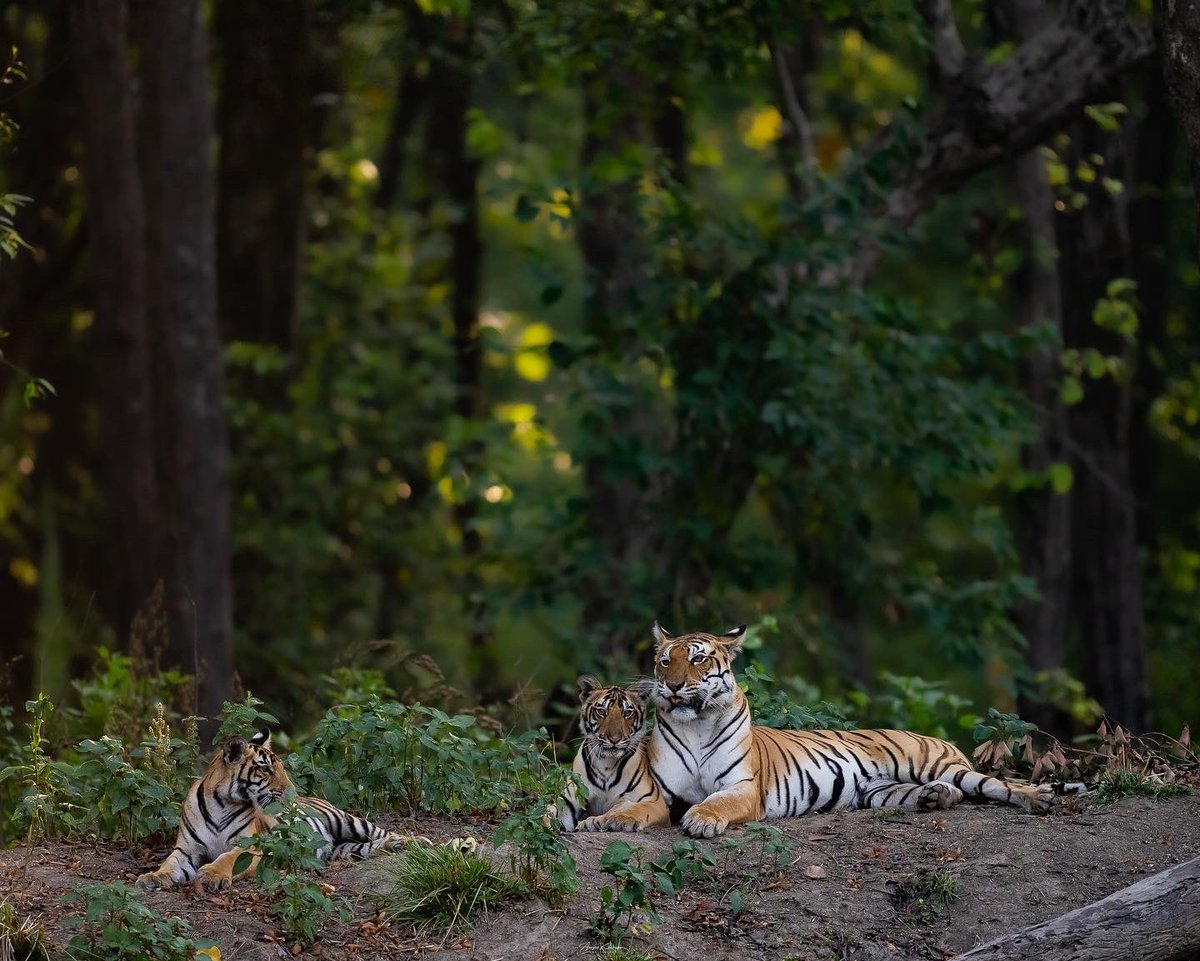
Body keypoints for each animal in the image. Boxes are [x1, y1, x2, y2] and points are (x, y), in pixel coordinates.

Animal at [135, 729, 410, 891]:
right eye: (265, 769)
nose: (292, 792)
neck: (220, 804)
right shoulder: (186, 850)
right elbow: (170, 864)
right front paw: (153, 877)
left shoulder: (251, 847)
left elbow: (228, 859)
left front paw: (211, 874)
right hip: (344, 849)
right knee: (366, 847)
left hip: (346, 820)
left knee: (382, 832)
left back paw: (410, 842)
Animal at [558, 675, 668, 833]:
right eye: (601, 711)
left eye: (627, 713)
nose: (615, 739)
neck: (606, 763)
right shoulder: (569, 798)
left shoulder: (652, 800)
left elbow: (631, 808)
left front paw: (615, 820)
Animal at [590, 623, 1053, 838]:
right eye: (665, 661)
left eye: (699, 659)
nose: (670, 686)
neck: (697, 727)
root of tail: (942, 742)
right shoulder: (657, 793)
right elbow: (633, 809)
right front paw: (607, 821)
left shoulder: (743, 788)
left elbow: (719, 802)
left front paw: (702, 819)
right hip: (880, 791)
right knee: (947, 793)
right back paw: (935, 798)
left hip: (940, 765)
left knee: (993, 784)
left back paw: (1039, 798)